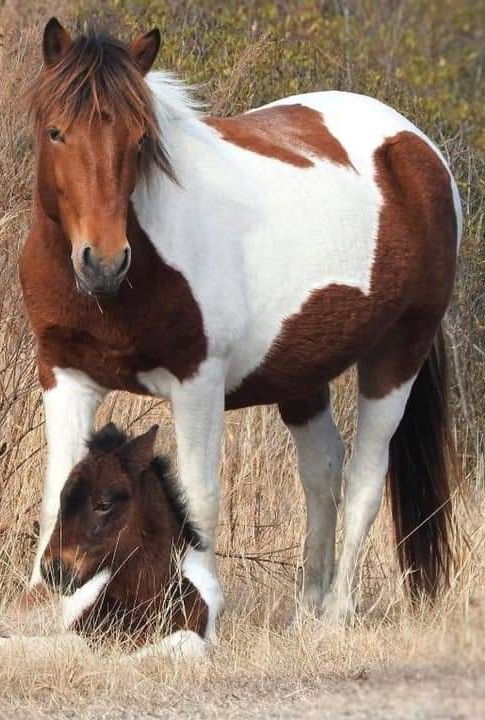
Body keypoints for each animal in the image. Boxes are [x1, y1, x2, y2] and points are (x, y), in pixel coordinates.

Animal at [19, 16, 462, 636]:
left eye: (140, 141)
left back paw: (335, 617)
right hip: (303, 377)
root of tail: (417, 147)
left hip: (398, 353)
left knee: (364, 482)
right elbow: (61, 484)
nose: (103, 264)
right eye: (57, 132)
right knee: (322, 473)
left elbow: (198, 497)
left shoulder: (198, 384)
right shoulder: (65, 375)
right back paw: (305, 613)